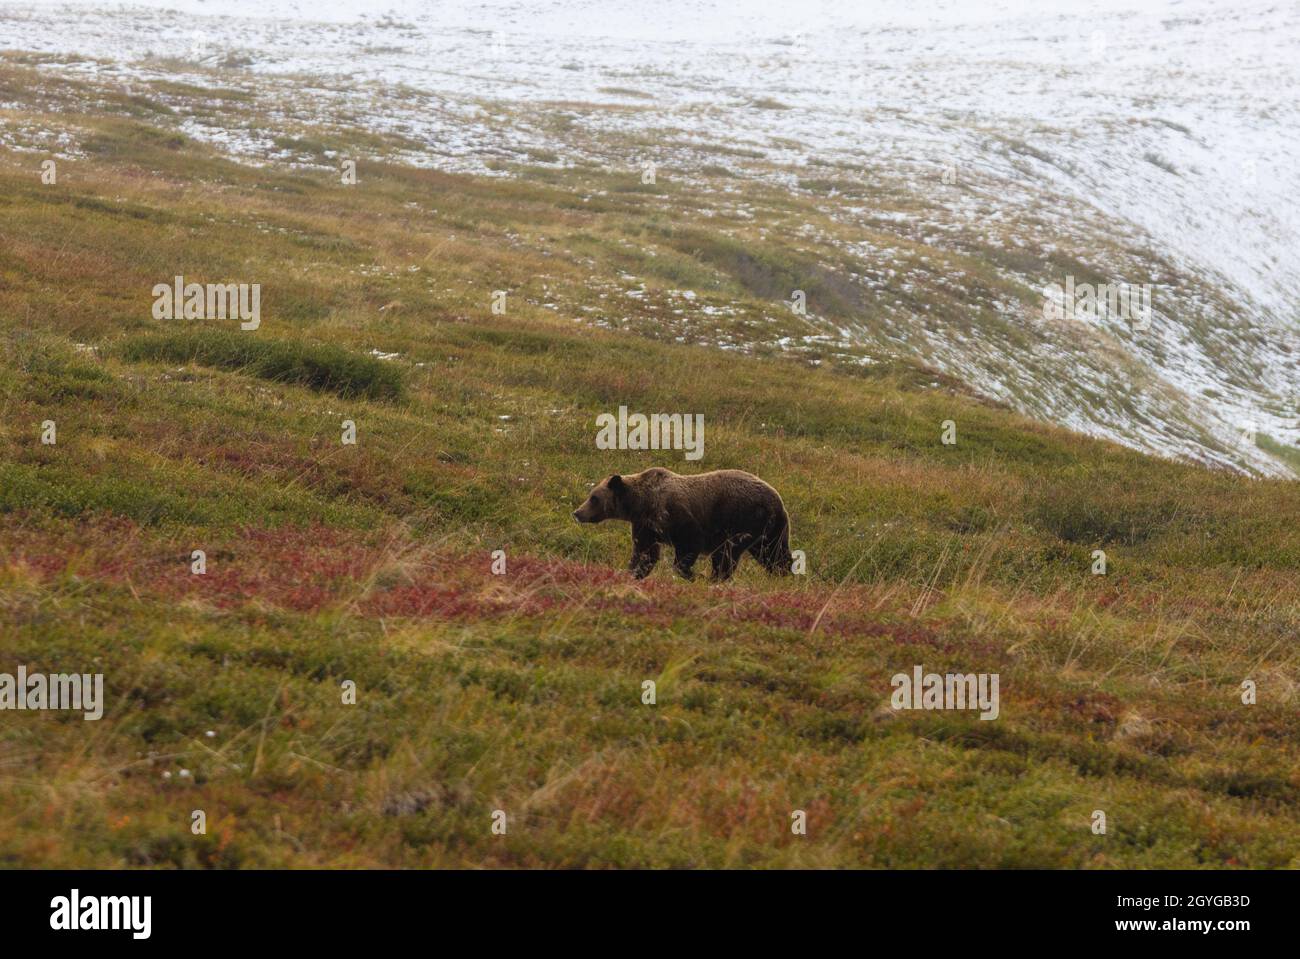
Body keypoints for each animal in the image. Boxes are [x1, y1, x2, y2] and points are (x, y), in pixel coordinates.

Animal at [572, 465, 790, 579]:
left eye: (594, 498)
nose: (577, 512)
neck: (643, 504)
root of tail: (777, 500)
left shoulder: (678, 517)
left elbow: (689, 544)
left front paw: (690, 573)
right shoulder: (646, 526)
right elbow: (645, 553)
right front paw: (633, 572)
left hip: (742, 519)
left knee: (727, 554)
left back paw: (715, 578)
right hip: (770, 530)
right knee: (774, 553)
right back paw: (783, 573)